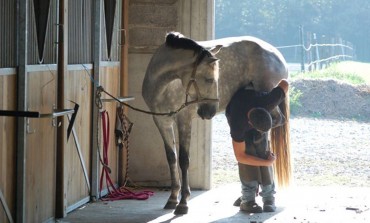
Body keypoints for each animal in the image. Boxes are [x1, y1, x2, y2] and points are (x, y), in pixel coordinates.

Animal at [140, 32, 290, 215]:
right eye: (209, 79)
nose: (210, 111)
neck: (164, 86)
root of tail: (277, 55)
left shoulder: (183, 120)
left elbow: (184, 159)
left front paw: (183, 202)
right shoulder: (162, 121)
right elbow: (172, 157)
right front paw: (173, 198)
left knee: (273, 125)